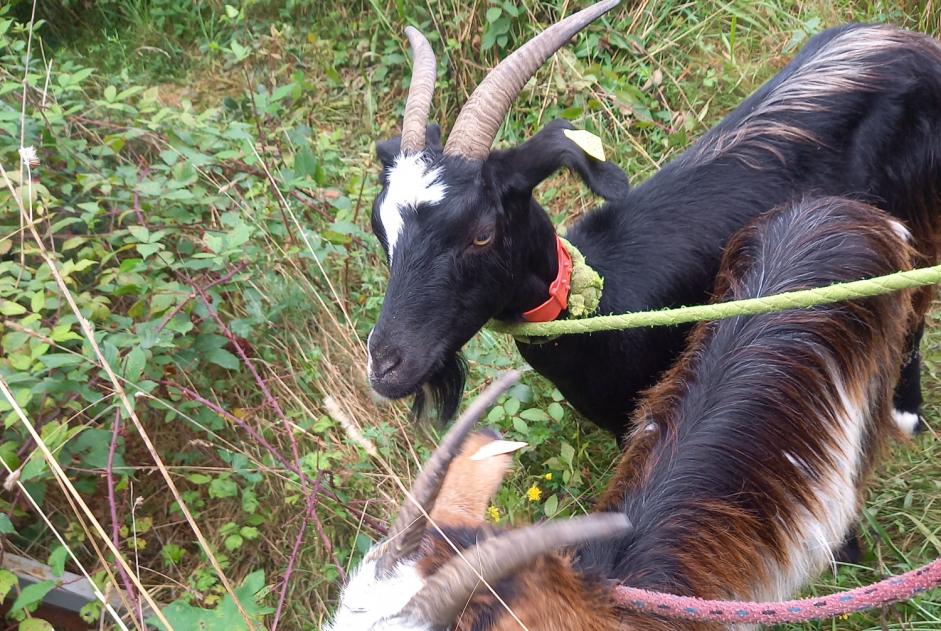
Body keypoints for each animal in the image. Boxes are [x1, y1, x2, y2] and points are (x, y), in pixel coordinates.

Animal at [364, 0, 936, 440]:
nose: (385, 367)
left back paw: (906, 414)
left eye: (482, 234)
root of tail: (912, 43)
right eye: (381, 232)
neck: (599, 299)